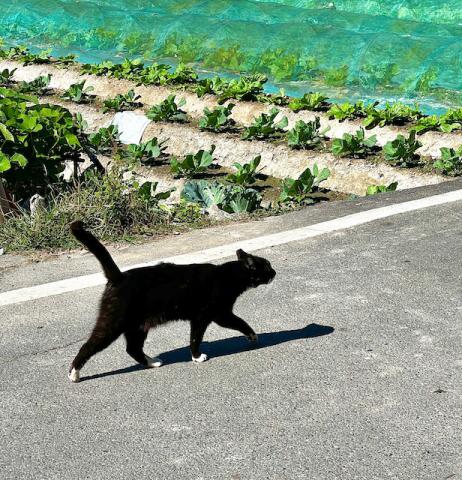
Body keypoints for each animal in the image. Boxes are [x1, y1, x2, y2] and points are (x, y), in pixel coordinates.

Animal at [67, 221, 276, 382]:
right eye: (267, 266)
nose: (274, 272)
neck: (227, 275)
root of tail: (119, 276)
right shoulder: (212, 315)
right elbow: (205, 334)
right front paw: (198, 357)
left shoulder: (212, 316)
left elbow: (224, 327)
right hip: (114, 322)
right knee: (89, 346)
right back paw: (74, 374)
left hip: (138, 325)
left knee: (132, 348)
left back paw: (152, 362)